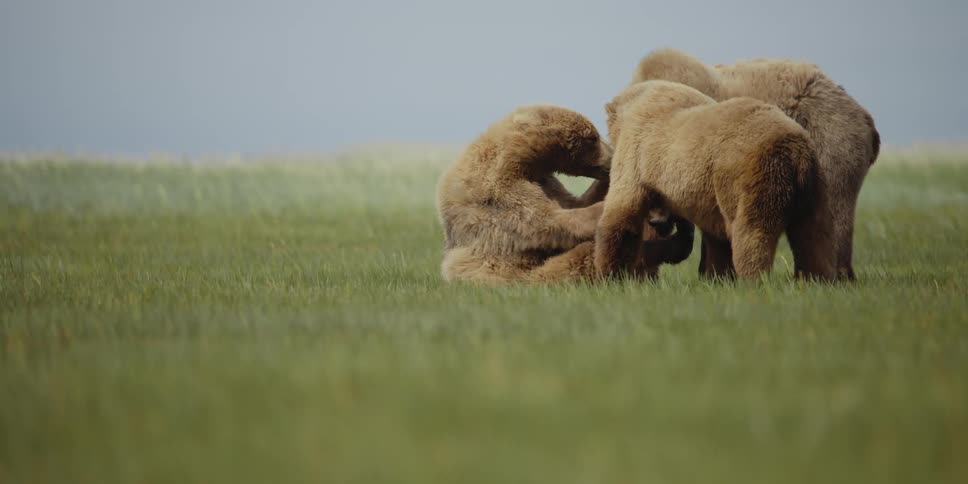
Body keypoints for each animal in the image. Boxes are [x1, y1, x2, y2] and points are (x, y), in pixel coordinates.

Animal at [436, 104, 694, 283]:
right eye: (592, 137)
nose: (612, 156)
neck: (520, 161)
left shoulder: (545, 180)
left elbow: (572, 202)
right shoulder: (497, 193)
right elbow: (547, 220)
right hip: (517, 275)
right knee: (581, 261)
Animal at [594, 81, 836, 281]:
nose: (658, 222)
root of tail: (796, 150)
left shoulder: (637, 149)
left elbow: (621, 213)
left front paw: (610, 274)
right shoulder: (708, 196)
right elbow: (716, 239)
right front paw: (717, 276)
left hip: (756, 174)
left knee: (753, 232)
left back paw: (753, 280)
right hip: (812, 183)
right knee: (813, 235)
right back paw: (816, 279)